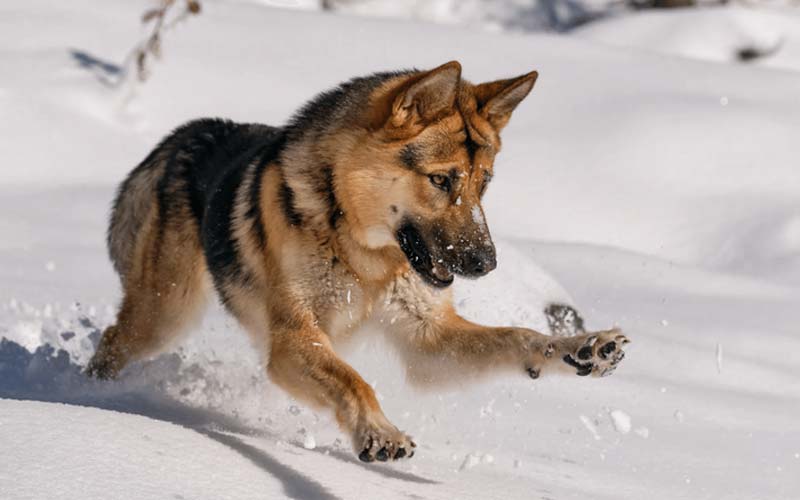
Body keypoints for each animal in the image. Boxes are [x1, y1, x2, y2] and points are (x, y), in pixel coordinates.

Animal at [89, 60, 632, 462]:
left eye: (485, 183)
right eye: (441, 180)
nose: (487, 263)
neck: (363, 253)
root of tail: (187, 134)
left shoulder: (428, 341)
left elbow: (519, 337)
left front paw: (585, 348)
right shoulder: (293, 339)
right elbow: (354, 380)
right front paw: (379, 432)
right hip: (166, 316)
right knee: (111, 343)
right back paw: (94, 397)